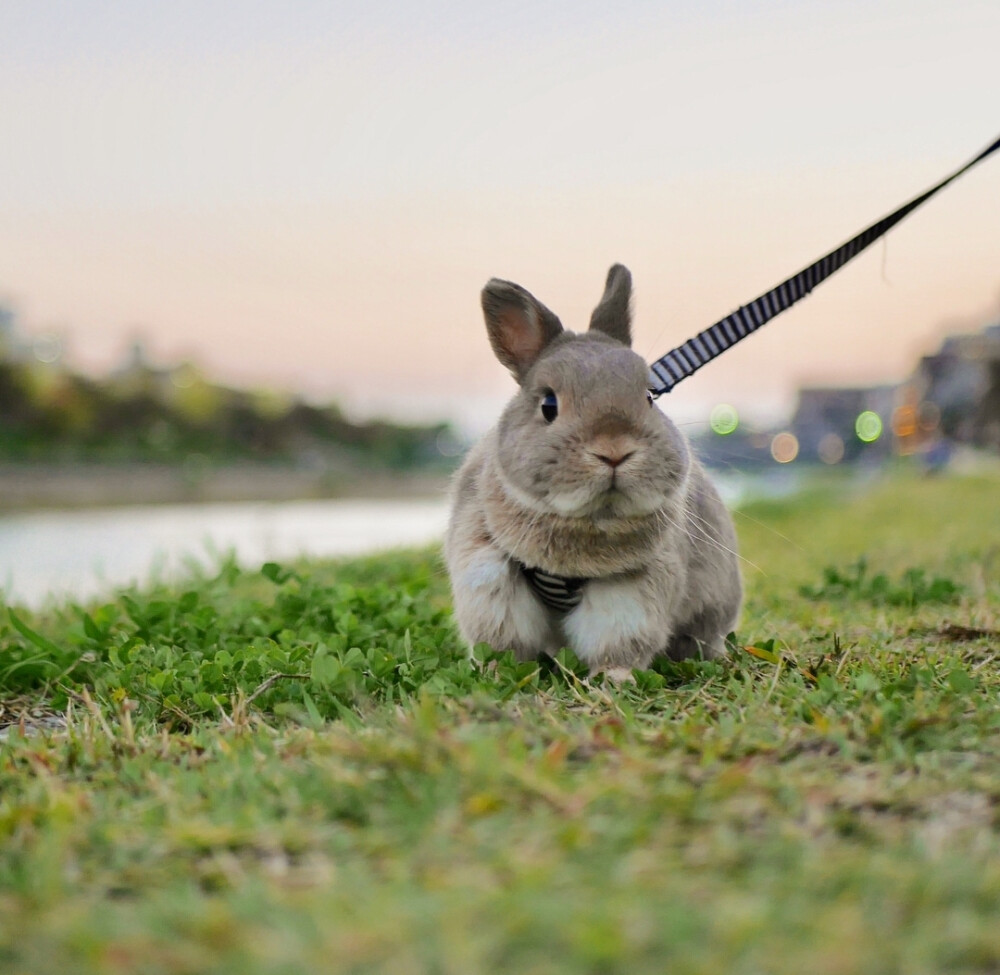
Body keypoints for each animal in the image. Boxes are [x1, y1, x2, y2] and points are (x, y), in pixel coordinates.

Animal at [446, 264, 744, 684]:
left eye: (649, 397)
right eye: (548, 405)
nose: (614, 450)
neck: (591, 519)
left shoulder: (631, 594)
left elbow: (616, 644)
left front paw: (614, 679)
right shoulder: (488, 572)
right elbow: (505, 641)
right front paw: (496, 672)